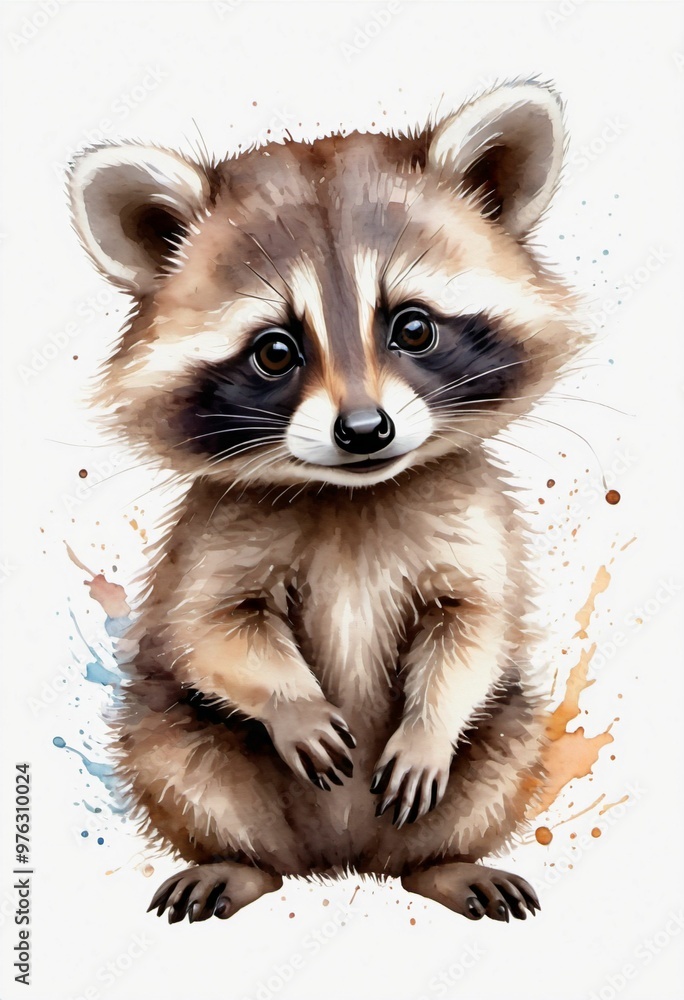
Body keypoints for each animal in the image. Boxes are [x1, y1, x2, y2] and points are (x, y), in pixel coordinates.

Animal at [68, 80, 584, 924]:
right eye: (275, 350)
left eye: (413, 327)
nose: (365, 430)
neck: (351, 494)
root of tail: (342, 861)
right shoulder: (214, 532)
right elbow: (209, 628)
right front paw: (293, 702)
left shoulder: (472, 521)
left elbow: (474, 625)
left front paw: (429, 726)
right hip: (172, 733)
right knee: (182, 763)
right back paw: (238, 860)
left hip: (501, 740)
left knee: (499, 748)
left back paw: (445, 862)